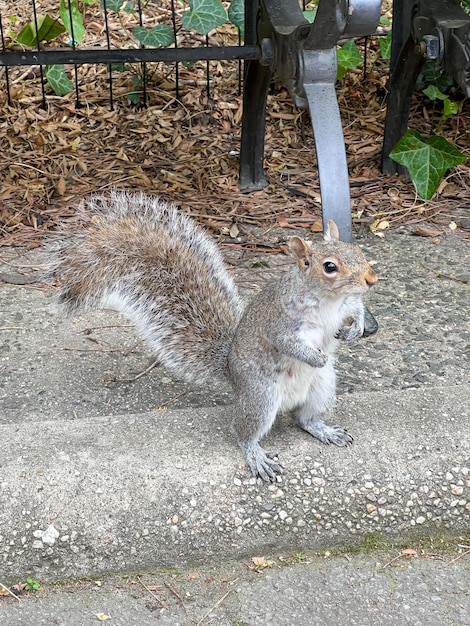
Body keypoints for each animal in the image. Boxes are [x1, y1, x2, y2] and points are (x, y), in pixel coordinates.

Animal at [46, 189, 378, 478]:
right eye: (330, 267)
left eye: (357, 250)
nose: (371, 279)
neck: (328, 300)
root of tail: (230, 371)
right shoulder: (280, 321)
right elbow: (287, 343)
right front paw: (315, 356)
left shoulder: (347, 303)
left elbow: (356, 308)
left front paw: (357, 328)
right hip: (261, 397)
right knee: (242, 431)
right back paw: (256, 456)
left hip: (323, 389)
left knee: (305, 419)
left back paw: (325, 430)